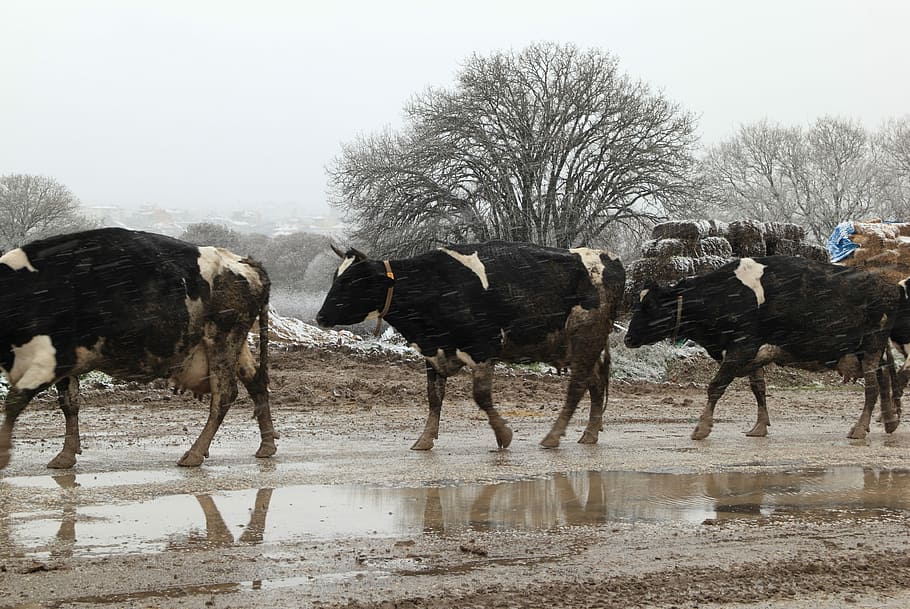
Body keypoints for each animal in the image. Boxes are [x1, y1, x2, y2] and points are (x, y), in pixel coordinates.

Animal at [0, 227, 278, 470]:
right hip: (234, 345)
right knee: (255, 381)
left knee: (225, 394)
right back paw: (267, 445)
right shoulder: (66, 365)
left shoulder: (52, 360)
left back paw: (195, 453)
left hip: (223, 338)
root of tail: (242, 262)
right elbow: (69, 404)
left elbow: (15, 400)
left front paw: (3, 453)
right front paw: (66, 455)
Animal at [316, 241, 625, 450]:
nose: (320, 316)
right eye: (335, 278)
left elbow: (481, 396)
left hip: (586, 337)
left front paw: (503, 434)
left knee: (577, 386)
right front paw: (424, 439)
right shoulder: (433, 352)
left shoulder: (482, 348)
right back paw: (589, 433)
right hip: (579, 345)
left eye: (351, 281)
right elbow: (434, 397)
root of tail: (608, 257)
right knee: (595, 382)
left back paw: (553, 436)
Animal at [624, 255, 904, 441]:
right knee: (884, 379)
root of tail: (890, 286)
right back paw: (889, 420)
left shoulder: (741, 348)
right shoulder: (750, 353)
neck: (724, 295)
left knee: (872, 387)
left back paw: (859, 429)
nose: (628, 338)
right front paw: (759, 426)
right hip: (868, 352)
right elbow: (758, 388)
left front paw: (702, 427)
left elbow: (715, 386)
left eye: (649, 306)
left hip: (871, 347)